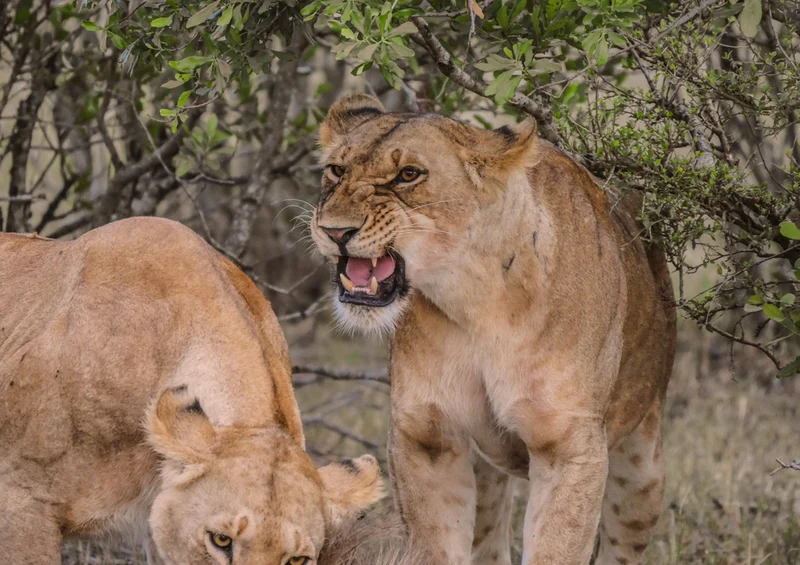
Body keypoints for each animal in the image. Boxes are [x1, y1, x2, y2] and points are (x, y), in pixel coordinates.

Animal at [309, 94, 677, 565]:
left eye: (408, 174)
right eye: (337, 170)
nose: (334, 231)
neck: (474, 303)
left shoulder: (568, 445)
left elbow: (556, 547)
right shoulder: (425, 436)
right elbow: (436, 547)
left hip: (642, 469)